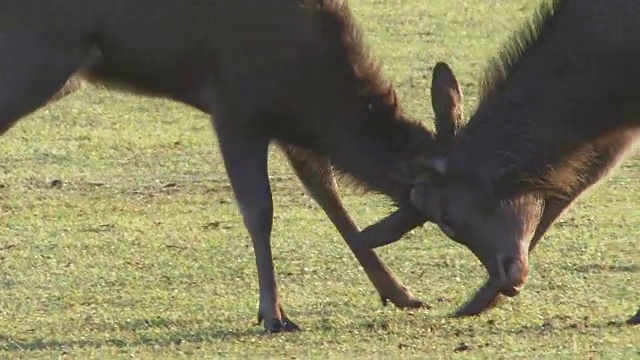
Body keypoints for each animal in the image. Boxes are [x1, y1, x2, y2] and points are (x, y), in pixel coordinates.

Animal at [0, 0, 464, 332]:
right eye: (449, 217)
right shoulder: (236, 107)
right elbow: (260, 210)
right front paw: (273, 314)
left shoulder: (289, 127)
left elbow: (328, 195)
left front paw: (401, 293)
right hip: (36, 60)